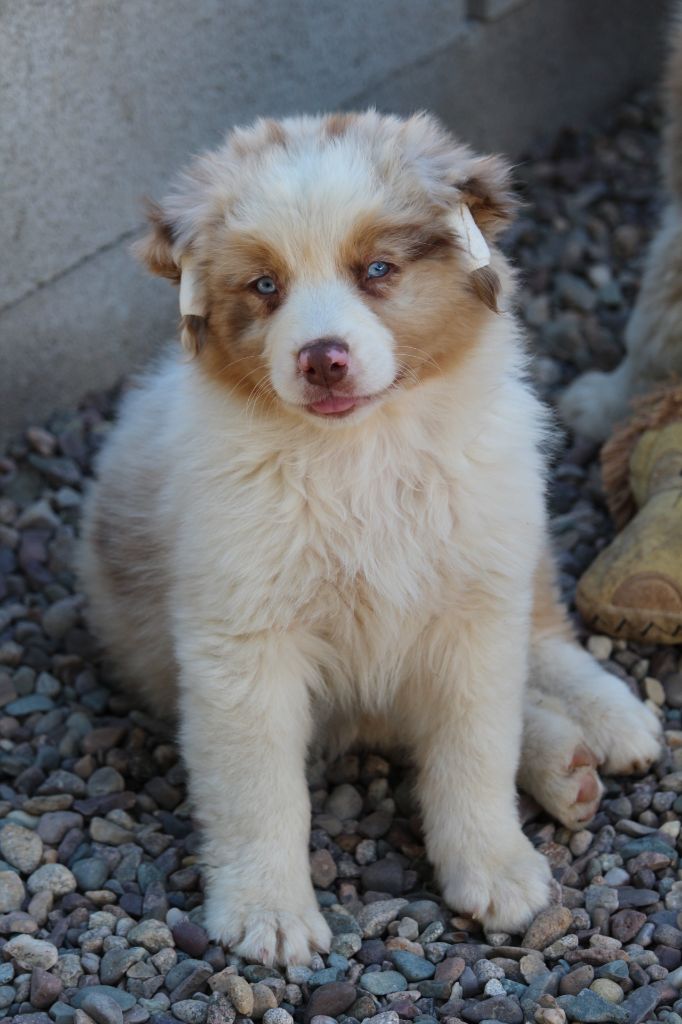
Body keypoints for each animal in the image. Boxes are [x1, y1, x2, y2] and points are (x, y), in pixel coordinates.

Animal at [79, 114, 659, 966]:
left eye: (378, 270)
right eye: (265, 286)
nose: (322, 359)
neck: (360, 456)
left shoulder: (473, 612)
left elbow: (475, 749)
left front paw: (494, 865)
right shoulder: (243, 643)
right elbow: (259, 790)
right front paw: (267, 911)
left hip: (510, 536)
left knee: (544, 639)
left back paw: (610, 724)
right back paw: (568, 763)